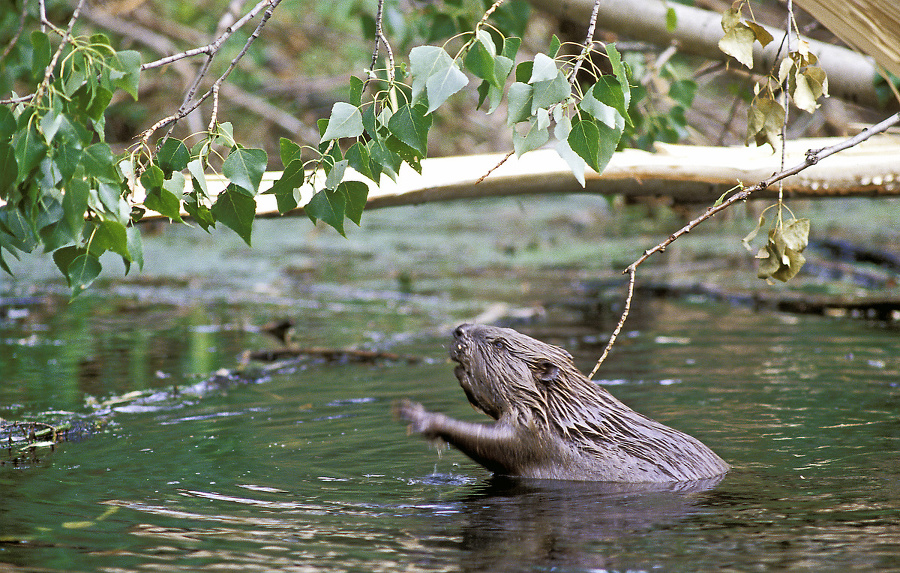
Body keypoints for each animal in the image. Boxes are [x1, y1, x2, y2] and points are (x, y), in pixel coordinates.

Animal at [398, 324, 728, 480]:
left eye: (500, 344)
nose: (459, 330)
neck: (565, 412)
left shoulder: (539, 436)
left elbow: (499, 444)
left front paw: (419, 416)